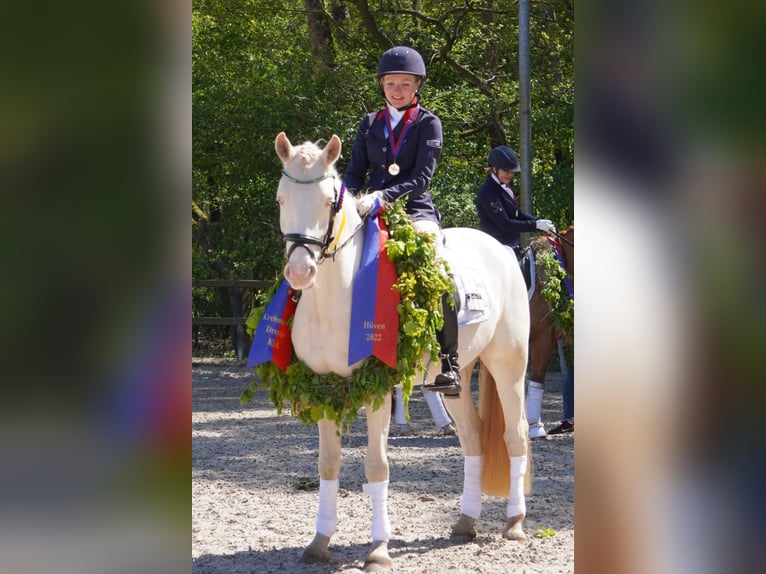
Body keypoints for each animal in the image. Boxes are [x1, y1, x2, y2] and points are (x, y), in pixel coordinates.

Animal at [276, 133, 536, 572]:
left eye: (329, 201)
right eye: (281, 198)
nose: (299, 272)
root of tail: (500, 248)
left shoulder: (378, 388)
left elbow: (376, 465)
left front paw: (379, 549)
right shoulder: (324, 387)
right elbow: (328, 464)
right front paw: (319, 543)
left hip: (508, 364)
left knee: (514, 434)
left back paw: (514, 524)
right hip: (458, 376)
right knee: (473, 439)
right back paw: (465, 523)